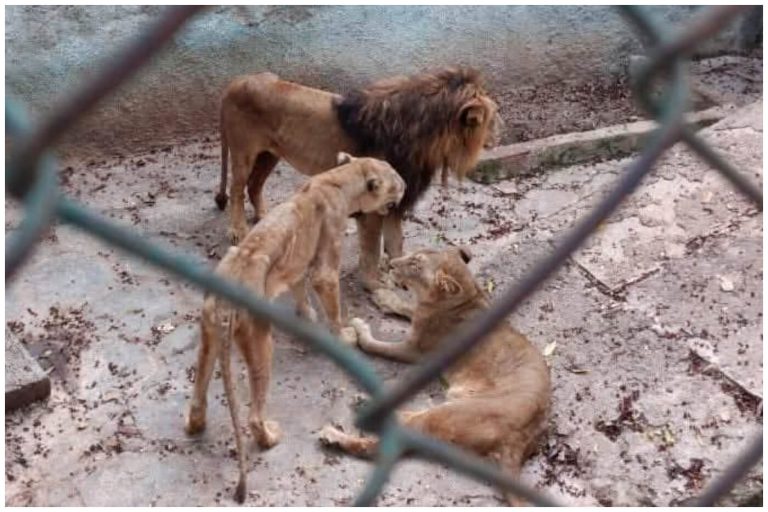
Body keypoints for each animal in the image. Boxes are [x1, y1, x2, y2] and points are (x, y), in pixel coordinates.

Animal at [184, 153, 405, 503]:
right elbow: (332, 305)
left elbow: (301, 290)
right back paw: (270, 437)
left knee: (197, 396)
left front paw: (306, 317)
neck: (340, 178)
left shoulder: (301, 264)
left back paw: (196, 425)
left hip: (209, 335)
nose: (407, 185)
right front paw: (343, 335)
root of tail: (226, 302)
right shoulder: (325, 267)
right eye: (395, 178)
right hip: (260, 340)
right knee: (253, 415)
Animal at [217, 67, 501, 291]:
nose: (499, 135)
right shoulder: (373, 207)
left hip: (269, 154)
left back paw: (264, 218)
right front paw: (374, 284)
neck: (425, 140)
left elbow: (396, 243)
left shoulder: (396, 203)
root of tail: (236, 81)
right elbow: (373, 249)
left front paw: (404, 275)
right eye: (490, 119)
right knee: (237, 189)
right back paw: (238, 230)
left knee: (254, 186)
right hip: (244, 152)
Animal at [318, 247, 551, 506]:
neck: (463, 297)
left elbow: (375, 345)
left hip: (451, 414)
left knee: (387, 442)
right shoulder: (421, 316)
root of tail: (520, 439)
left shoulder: (416, 351)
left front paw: (360, 329)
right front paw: (384, 297)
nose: (391, 264)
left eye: (415, 264)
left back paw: (336, 434)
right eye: (412, 255)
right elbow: (407, 307)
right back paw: (365, 404)